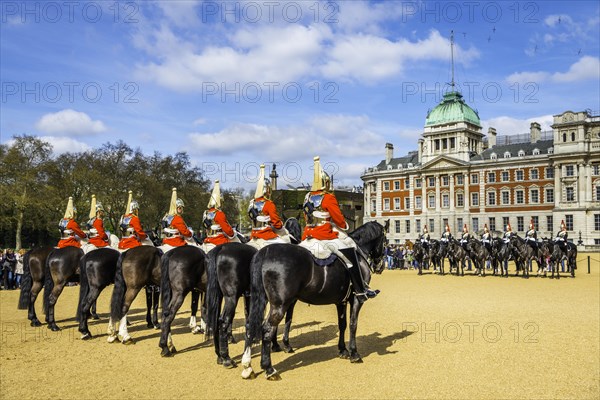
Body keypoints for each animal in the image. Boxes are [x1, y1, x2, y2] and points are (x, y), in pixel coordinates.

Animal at [241, 222, 386, 382]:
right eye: (385, 241)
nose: (380, 266)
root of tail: (265, 252)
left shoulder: (340, 302)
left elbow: (342, 325)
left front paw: (343, 350)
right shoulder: (356, 299)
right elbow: (353, 324)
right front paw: (354, 353)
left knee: (250, 325)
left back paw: (248, 366)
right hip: (280, 305)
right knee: (267, 328)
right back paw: (269, 369)